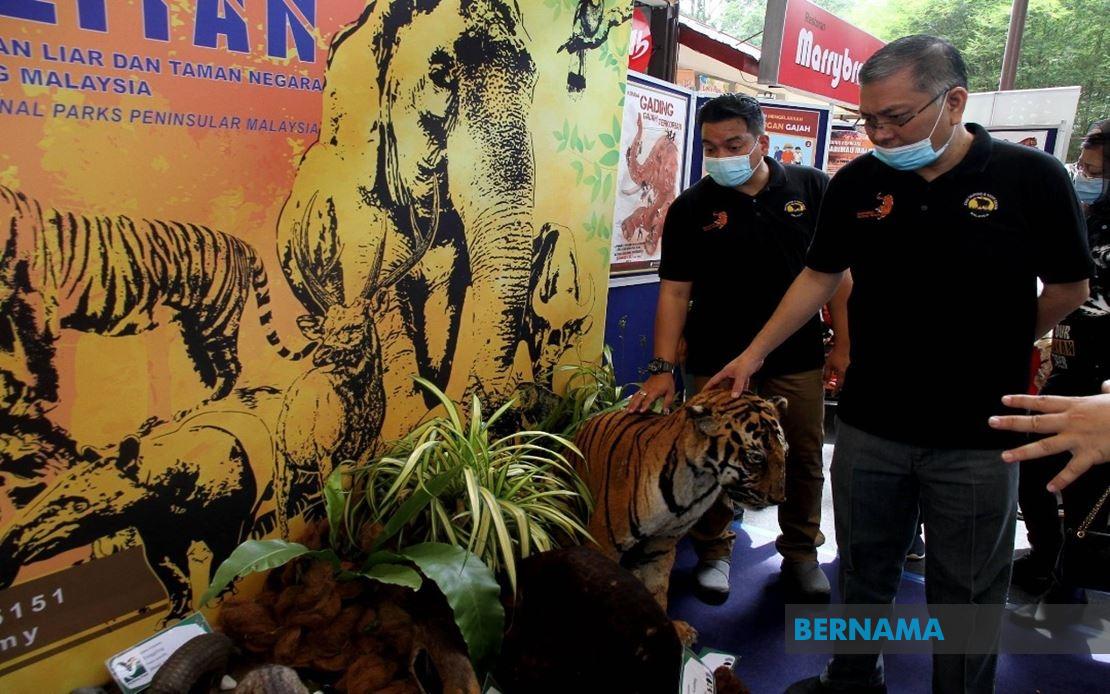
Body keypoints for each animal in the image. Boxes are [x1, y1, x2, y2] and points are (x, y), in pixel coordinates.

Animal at [1, 184, 313, 410]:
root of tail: (240, 242)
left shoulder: (34, 309)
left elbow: (39, 360)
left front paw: (38, 401)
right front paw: (15, 396)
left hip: (216, 318)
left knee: (230, 365)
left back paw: (205, 404)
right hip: (194, 324)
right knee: (209, 367)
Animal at [572, 390, 790, 644]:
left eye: (784, 452)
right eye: (756, 458)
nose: (779, 499)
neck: (698, 485)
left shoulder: (661, 545)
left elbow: (657, 587)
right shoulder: (603, 542)